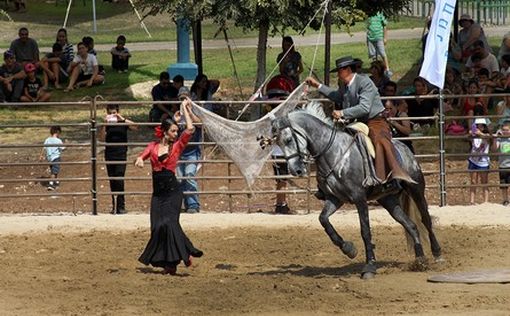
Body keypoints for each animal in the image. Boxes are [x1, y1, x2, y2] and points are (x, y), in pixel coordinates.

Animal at [270, 101, 442, 278]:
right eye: (278, 143)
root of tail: (406, 149)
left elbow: (365, 231)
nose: (295, 170)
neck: (333, 153)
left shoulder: (359, 198)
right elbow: (323, 219)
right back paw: (420, 259)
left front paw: (370, 266)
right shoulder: (335, 199)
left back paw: (436, 253)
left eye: (289, 140)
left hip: (416, 189)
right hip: (388, 200)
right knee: (410, 225)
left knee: (426, 219)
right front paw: (348, 248)